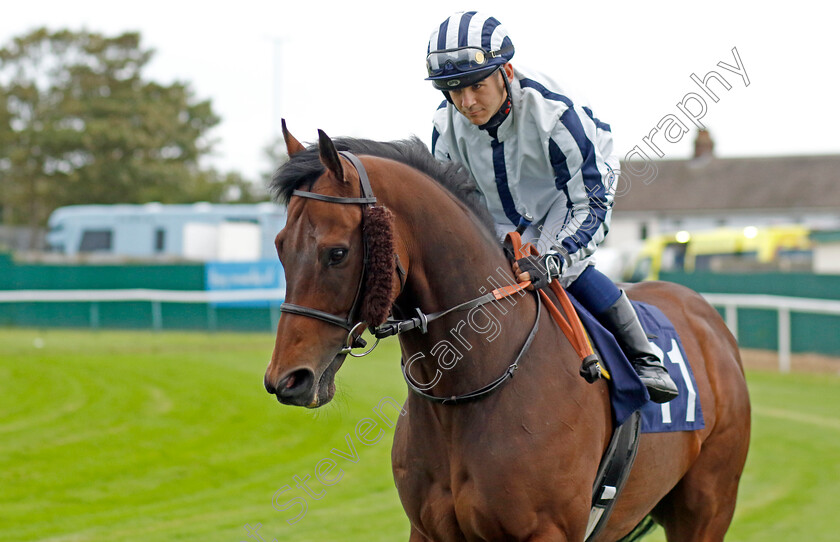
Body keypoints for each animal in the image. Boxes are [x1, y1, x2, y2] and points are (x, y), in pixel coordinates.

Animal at [262, 126, 748, 542]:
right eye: (280, 245)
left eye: (337, 253)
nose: (287, 380)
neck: (468, 392)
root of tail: (707, 316)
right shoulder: (427, 530)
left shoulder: (548, 532)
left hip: (708, 507)